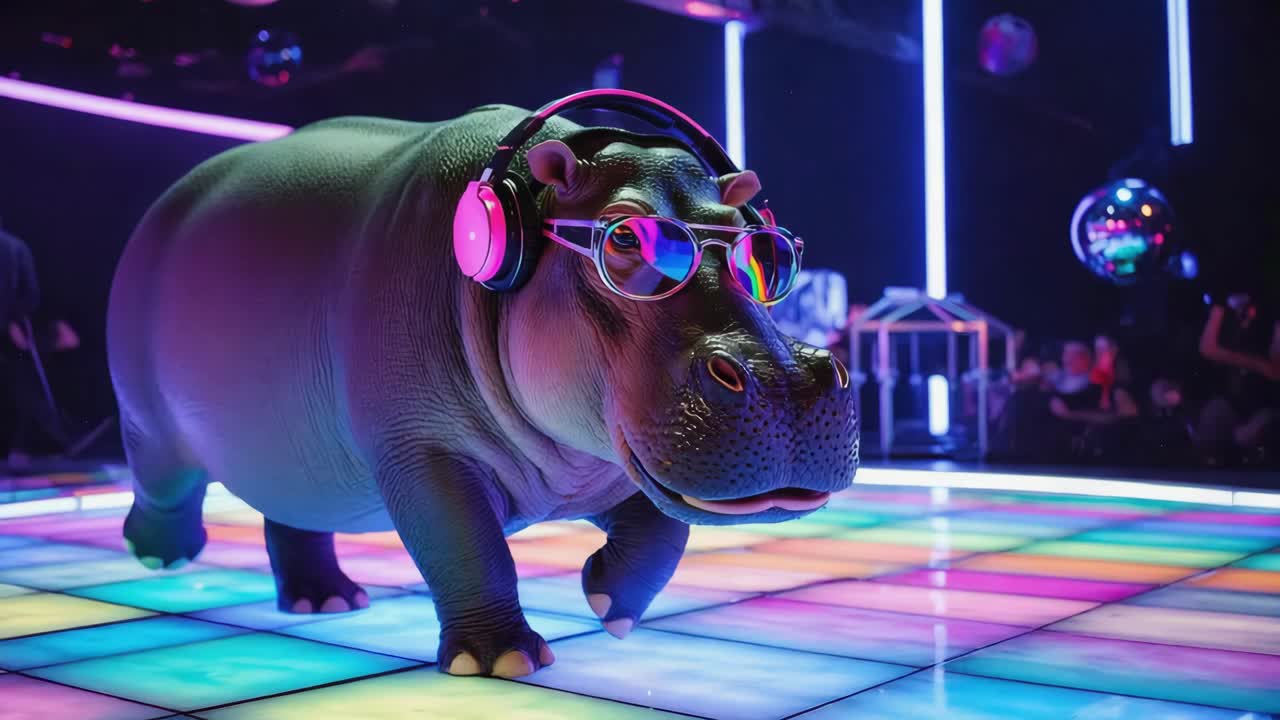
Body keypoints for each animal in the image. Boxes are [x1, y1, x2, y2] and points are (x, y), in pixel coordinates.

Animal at [107, 92, 858, 679]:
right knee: (161, 476)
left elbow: (663, 532)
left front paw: (609, 604)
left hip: (291, 446)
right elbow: (465, 543)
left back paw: (327, 601)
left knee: (292, 512)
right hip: (150, 418)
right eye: (625, 241)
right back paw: (159, 552)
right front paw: (500, 660)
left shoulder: (617, 456)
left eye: (768, 252)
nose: (789, 382)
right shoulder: (421, 450)